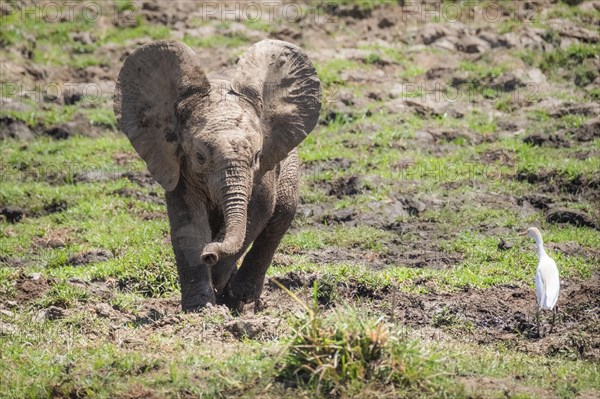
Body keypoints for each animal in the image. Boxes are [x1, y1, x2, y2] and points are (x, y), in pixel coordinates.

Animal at [112, 39, 318, 312]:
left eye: (257, 156)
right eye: (200, 157)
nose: (209, 254)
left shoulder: (266, 166)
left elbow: (258, 212)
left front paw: (220, 286)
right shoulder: (179, 164)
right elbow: (189, 225)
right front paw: (200, 307)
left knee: (281, 215)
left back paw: (241, 299)